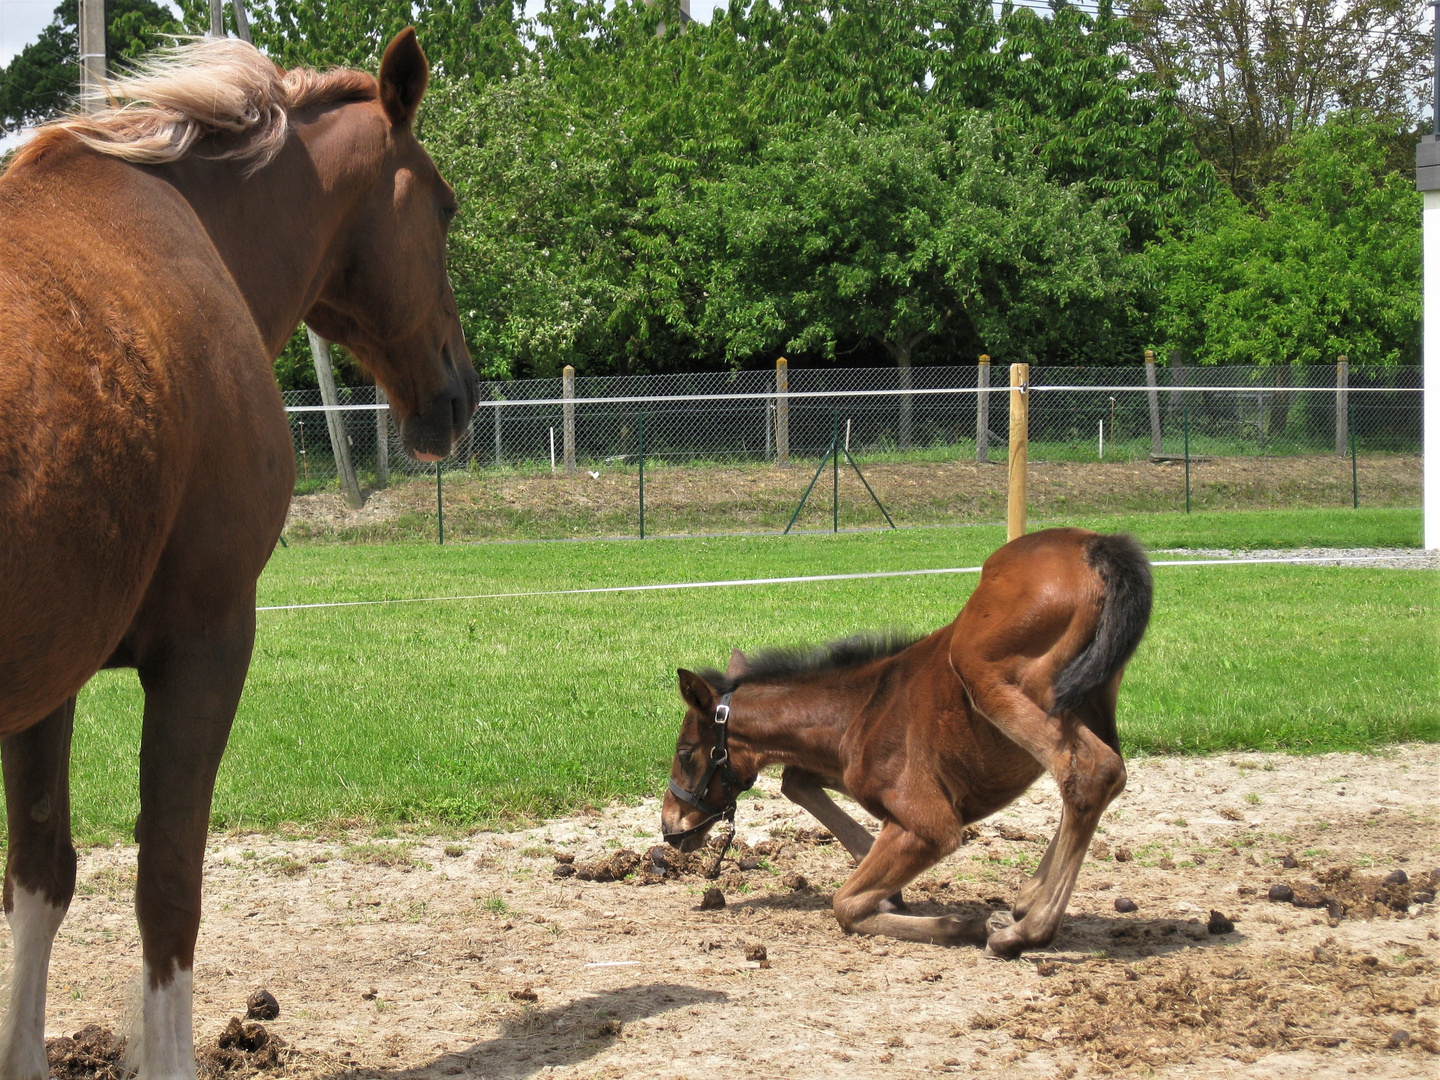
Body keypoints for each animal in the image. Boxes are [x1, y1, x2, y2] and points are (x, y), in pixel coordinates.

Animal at [0, 27, 480, 1080]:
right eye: (446, 207)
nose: (461, 391)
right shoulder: (207, 642)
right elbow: (168, 885)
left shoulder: (51, 678)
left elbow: (41, 875)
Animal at [665, 529, 1157, 961]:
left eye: (686, 753)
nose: (670, 828)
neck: (861, 708)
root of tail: (1098, 545)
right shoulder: (847, 767)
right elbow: (795, 778)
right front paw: (888, 883)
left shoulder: (928, 824)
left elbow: (845, 904)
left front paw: (963, 924)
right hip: (1096, 697)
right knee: (1105, 774)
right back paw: (1028, 898)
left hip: (990, 678)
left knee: (1088, 771)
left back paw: (1022, 932)